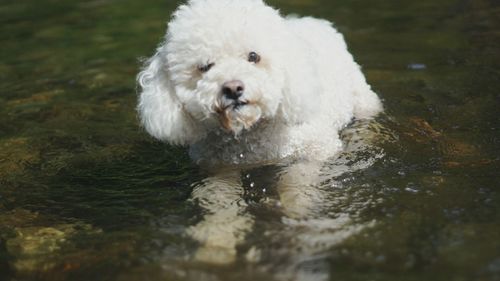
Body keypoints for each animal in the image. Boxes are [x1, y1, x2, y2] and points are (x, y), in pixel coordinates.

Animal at [135, 0, 380, 164]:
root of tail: (313, 20)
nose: (233, 88)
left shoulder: (314, 150)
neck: (249, 134)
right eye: (204, 67)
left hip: (362, 97)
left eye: (253, 56)